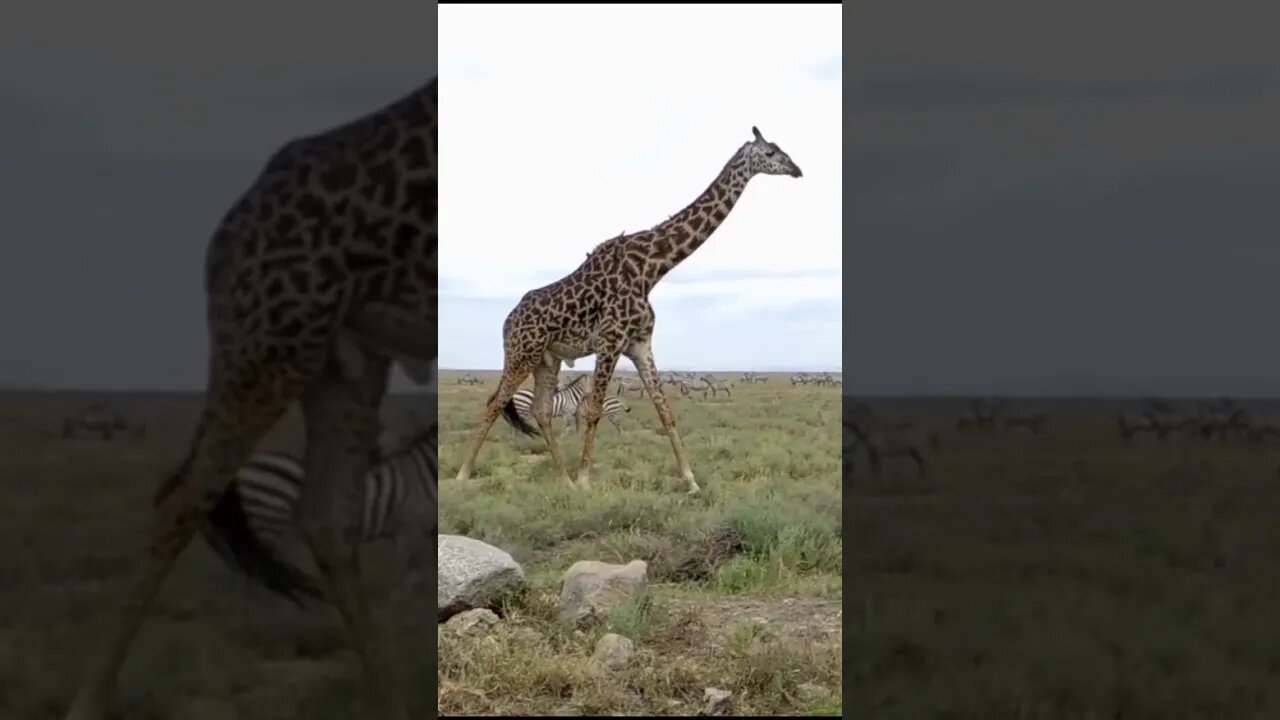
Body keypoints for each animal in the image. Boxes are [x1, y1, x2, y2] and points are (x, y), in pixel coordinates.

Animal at [202, 422, 437, 602]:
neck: (421, 474)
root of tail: (243, 468)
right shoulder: (407, 529)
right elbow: (405, 570)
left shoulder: (423, 530)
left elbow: (425, 567)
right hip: (265, 522)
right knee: (255, 568)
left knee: (251, 567)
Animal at [453, 124, 798, 491]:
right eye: (771, 152)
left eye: (781, 150)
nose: (797, 169)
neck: (652, 268)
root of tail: (507, 321)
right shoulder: (610, 339)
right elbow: (593, 410)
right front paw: (586, 480)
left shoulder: (640, 343)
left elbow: (664, 409)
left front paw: (691, 481)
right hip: (521, 353)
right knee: (496, 402)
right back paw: (464, 475)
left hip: (547, 359)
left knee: (541, 410)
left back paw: (563, 479)